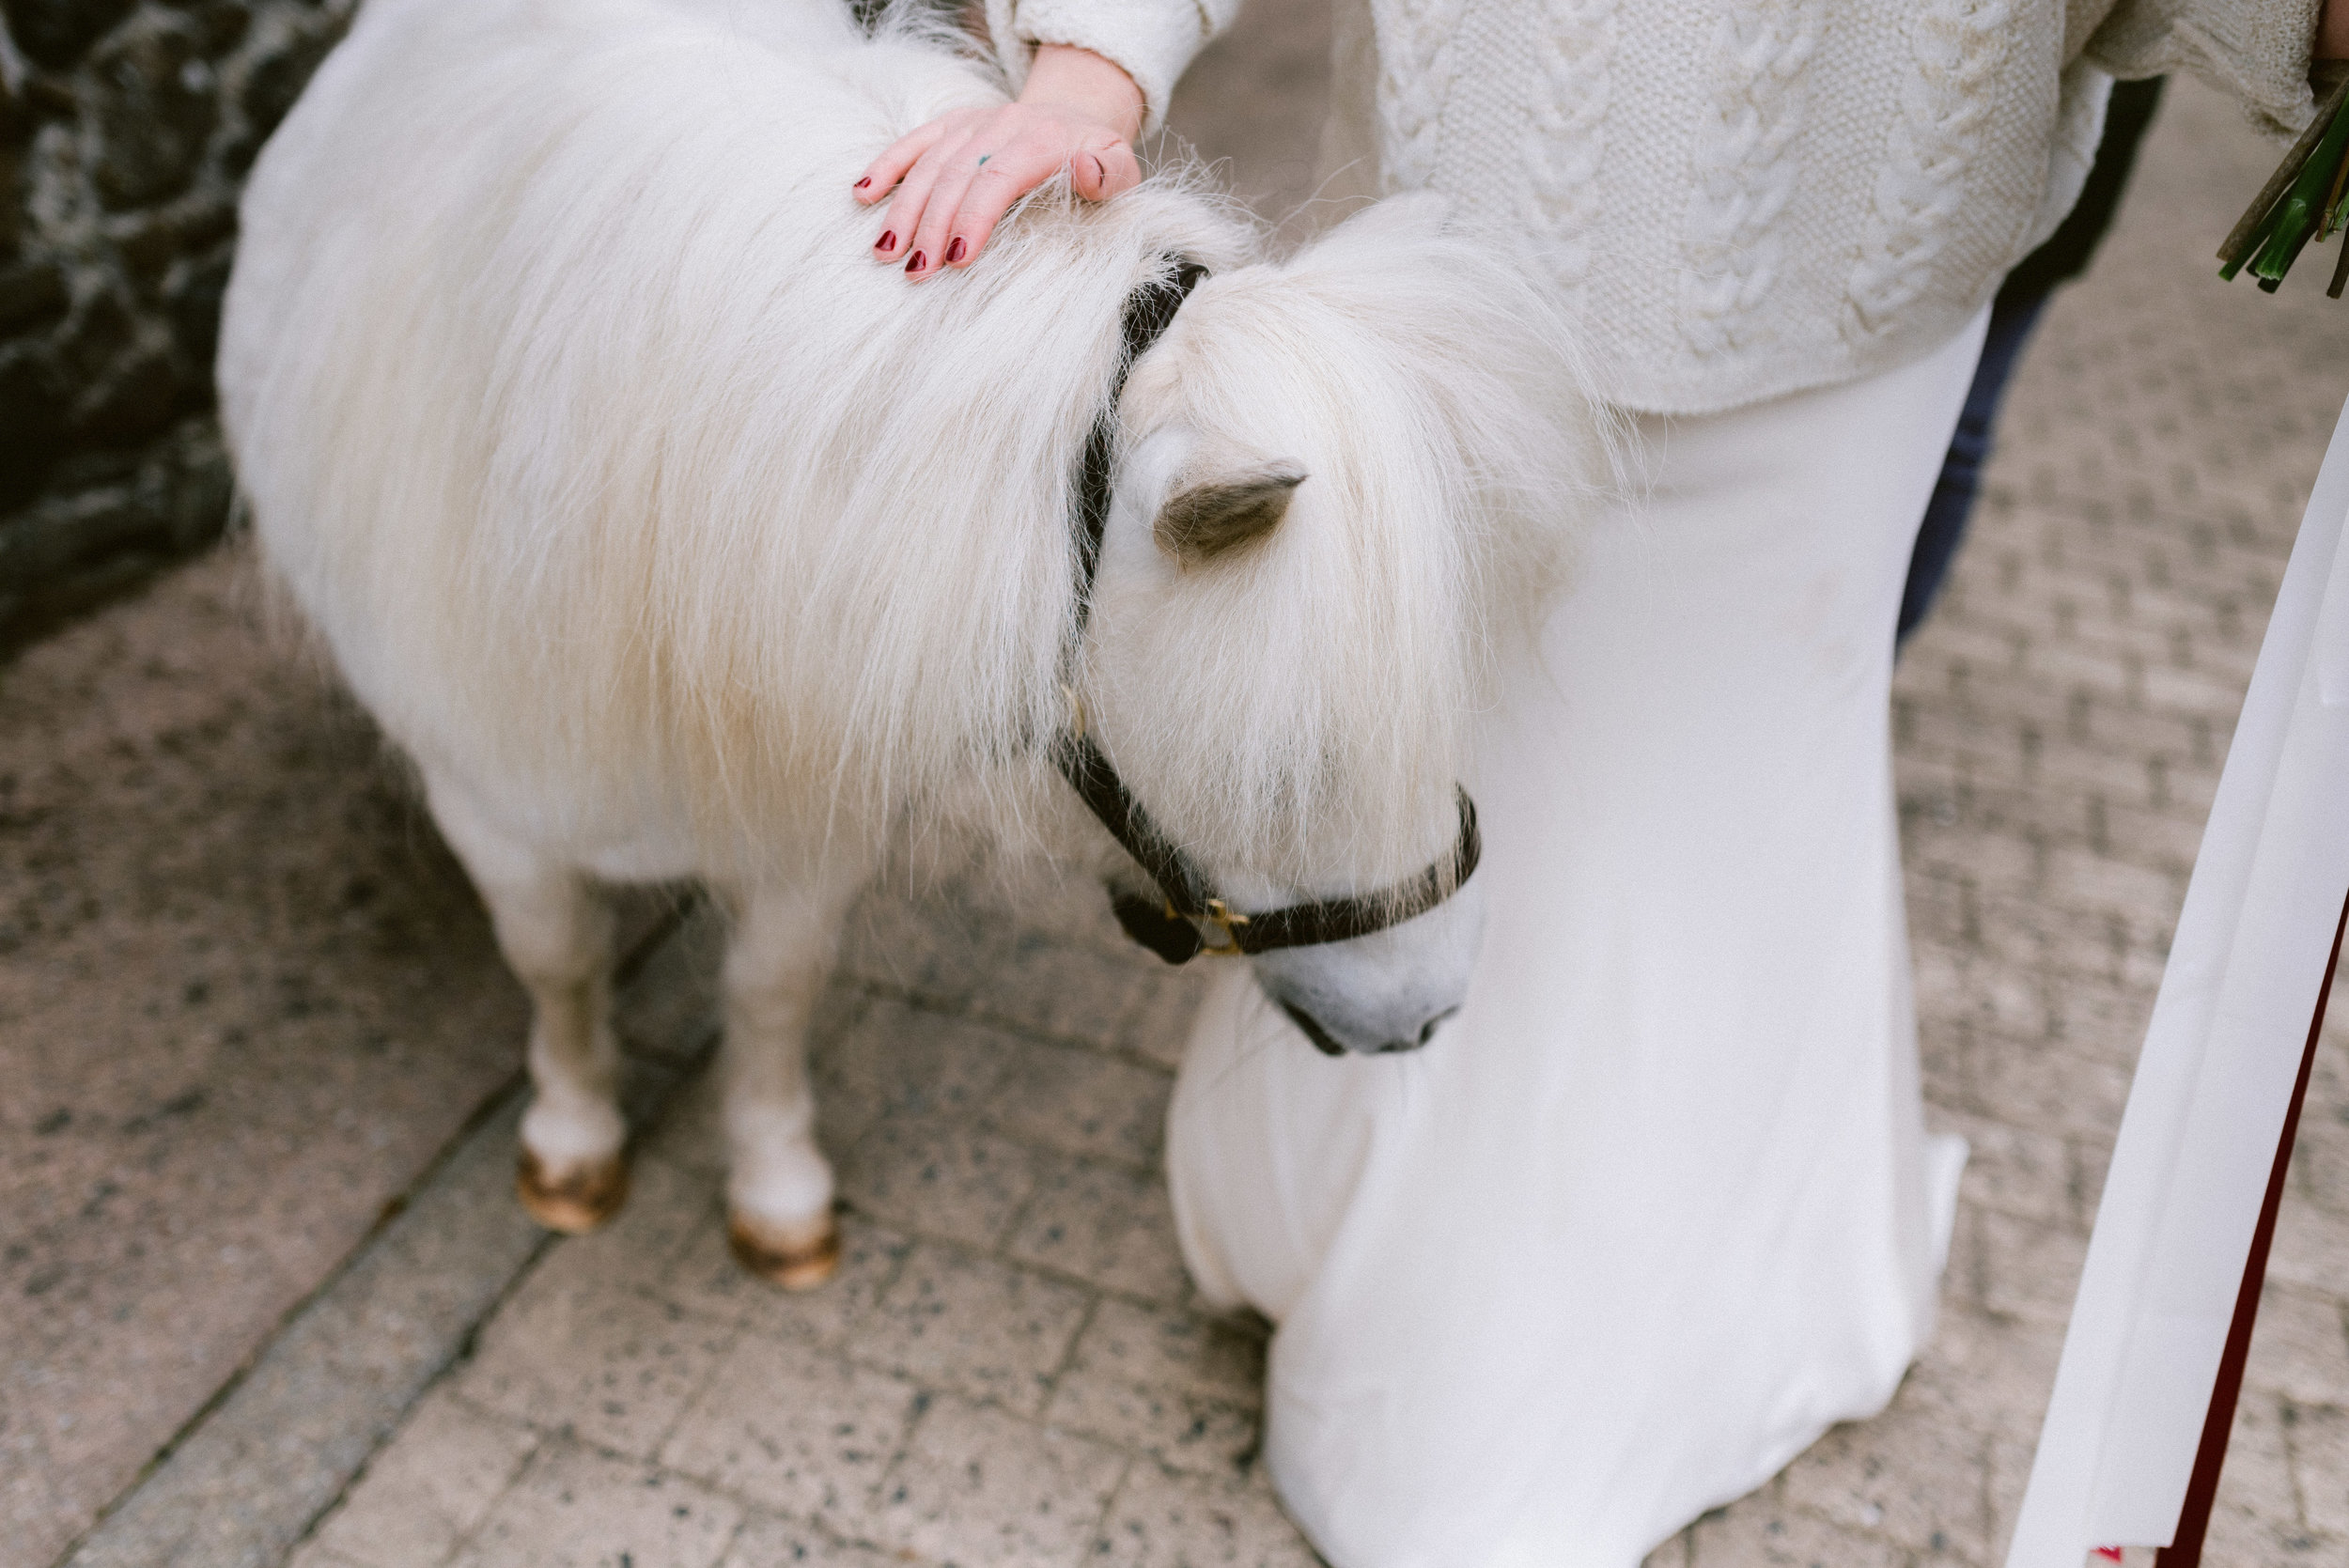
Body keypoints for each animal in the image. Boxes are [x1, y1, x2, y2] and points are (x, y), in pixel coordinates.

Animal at [221, 0, 1607, 1277]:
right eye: (1287, 767)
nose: (1430, 1010)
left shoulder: (806, 810)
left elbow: (769, 988)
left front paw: (777, 1190)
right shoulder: (494, 799)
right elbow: (556, 962)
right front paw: (571, 1144)